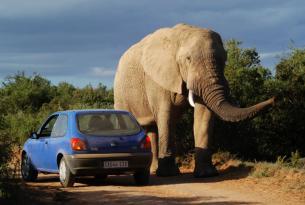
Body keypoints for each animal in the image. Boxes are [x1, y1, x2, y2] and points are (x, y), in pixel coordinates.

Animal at [113, 24, 274, 177]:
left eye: (224, 59)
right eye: (188, 59)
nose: (274, 99)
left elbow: (204, 115)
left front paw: (206, 174)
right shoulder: (157, 79)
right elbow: (166, 116)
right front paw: (169, 174)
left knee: (151, 129)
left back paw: (153, 170)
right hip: (120, 94)